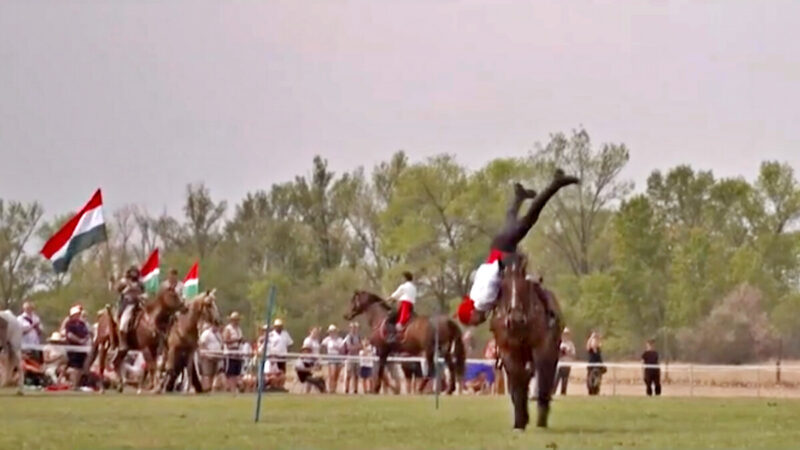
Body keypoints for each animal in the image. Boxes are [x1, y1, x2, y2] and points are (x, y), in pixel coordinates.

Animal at [490, 255, 564, 430]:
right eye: (504, 286)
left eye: (523, 285)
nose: (515, 319)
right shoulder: (508, 351)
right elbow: (517, 382)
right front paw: (520, 420)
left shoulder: (543, 348)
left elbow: (543, 379)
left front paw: (541, 418)